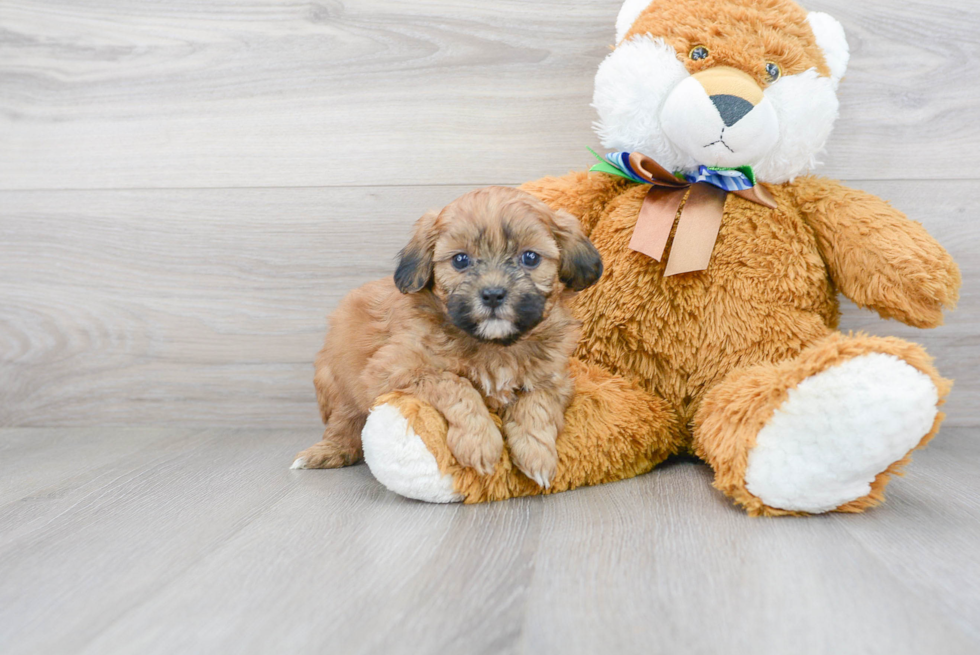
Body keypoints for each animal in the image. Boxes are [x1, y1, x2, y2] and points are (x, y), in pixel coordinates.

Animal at [288, 184, 600, 486]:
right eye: (460, 260)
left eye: (530, 257)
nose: (493, 294)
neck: (494, 345)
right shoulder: (391, 369)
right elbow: (455, 384)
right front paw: (480, 443)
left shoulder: (554, 379)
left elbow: (537, 406)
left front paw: (537, 455)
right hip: (338, 384)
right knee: (344, 423)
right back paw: (326, 451)